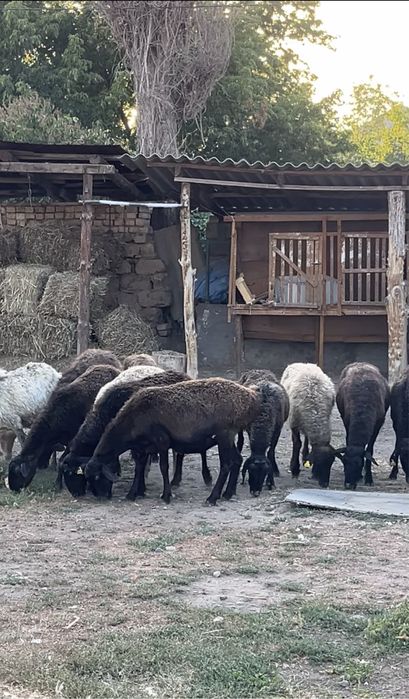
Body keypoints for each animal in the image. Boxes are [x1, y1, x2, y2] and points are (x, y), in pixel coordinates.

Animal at [8, 364, 121, 492]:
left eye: (17, 473)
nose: (13, 490)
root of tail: (108, 367)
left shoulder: (73, 440)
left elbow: (63, 461)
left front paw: (59, 484)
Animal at [61, 368, 187, 498]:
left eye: (70, 473)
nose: (76, 494)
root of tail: (182, 374)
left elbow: (138, 464)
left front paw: (139, 489)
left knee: (179, 454)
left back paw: (175, 480)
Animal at [85, 378, 262, 505]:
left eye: (97, 477)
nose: (101, 498)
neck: (133, 420)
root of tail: (251, 398)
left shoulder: (161, 441)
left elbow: (164, 468)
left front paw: (166, 495)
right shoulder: (142, 447)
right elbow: (139, 468)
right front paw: (132, 494)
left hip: (224, 434)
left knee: (226, 464)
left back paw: (212, 498)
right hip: (228, 436)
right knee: (237, 460)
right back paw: (228, 493)